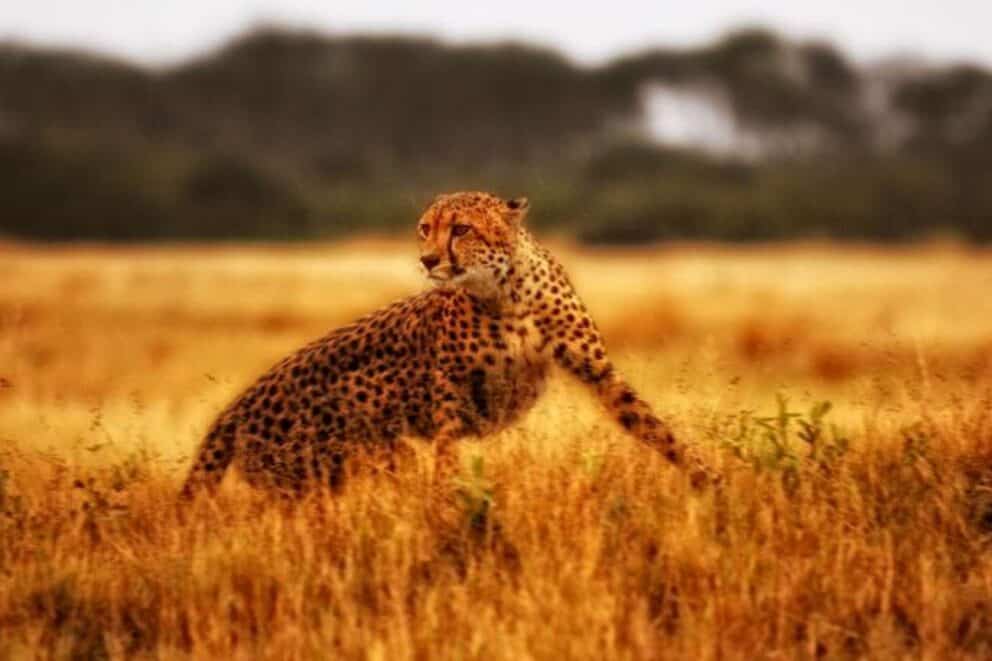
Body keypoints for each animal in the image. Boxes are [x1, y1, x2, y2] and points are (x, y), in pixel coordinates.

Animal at [180, 191, 711, 500]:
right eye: (425, 228)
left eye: (461, 229)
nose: (428, 259)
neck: (507, 291)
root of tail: (235, 407)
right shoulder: (448, 394)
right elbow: (449, 453)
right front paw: (451, 507)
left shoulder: (596, 370)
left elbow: (651, 425)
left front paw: (710, 480)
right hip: (347, 461)